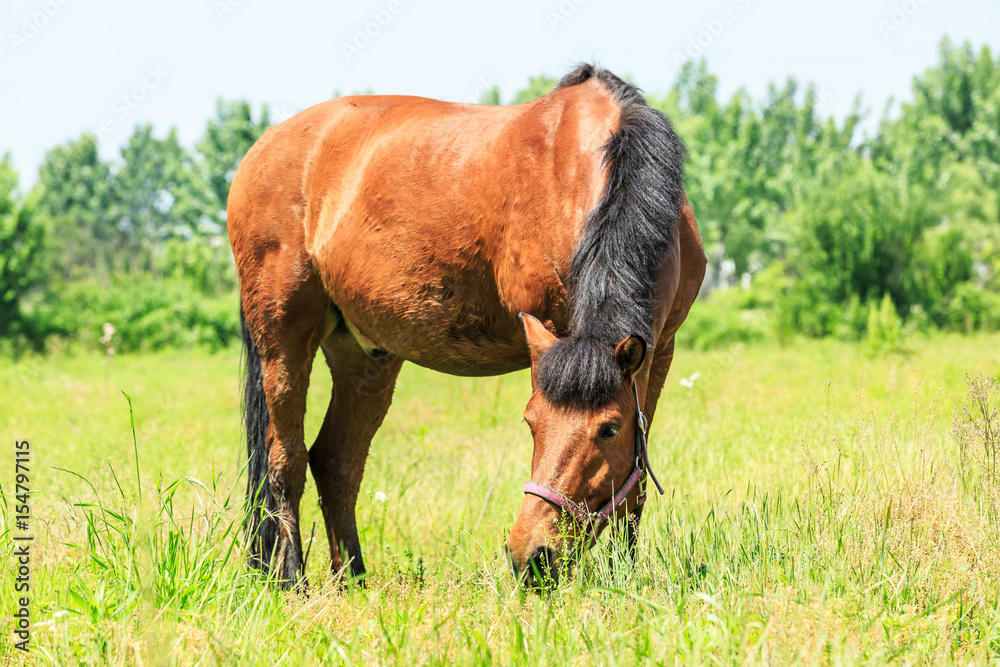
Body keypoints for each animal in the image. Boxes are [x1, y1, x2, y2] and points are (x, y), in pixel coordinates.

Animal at [230, 65, 708, 588]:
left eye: (609, 428)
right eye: (531, 422)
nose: (532, 557)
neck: (598, 166)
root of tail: (262, 148)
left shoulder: (659, 348)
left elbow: (636, 476)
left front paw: (626, 576)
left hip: (364, 354)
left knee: (336, 461)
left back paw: (352, 580)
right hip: (282, 335)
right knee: (285, 459)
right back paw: (290, 580)